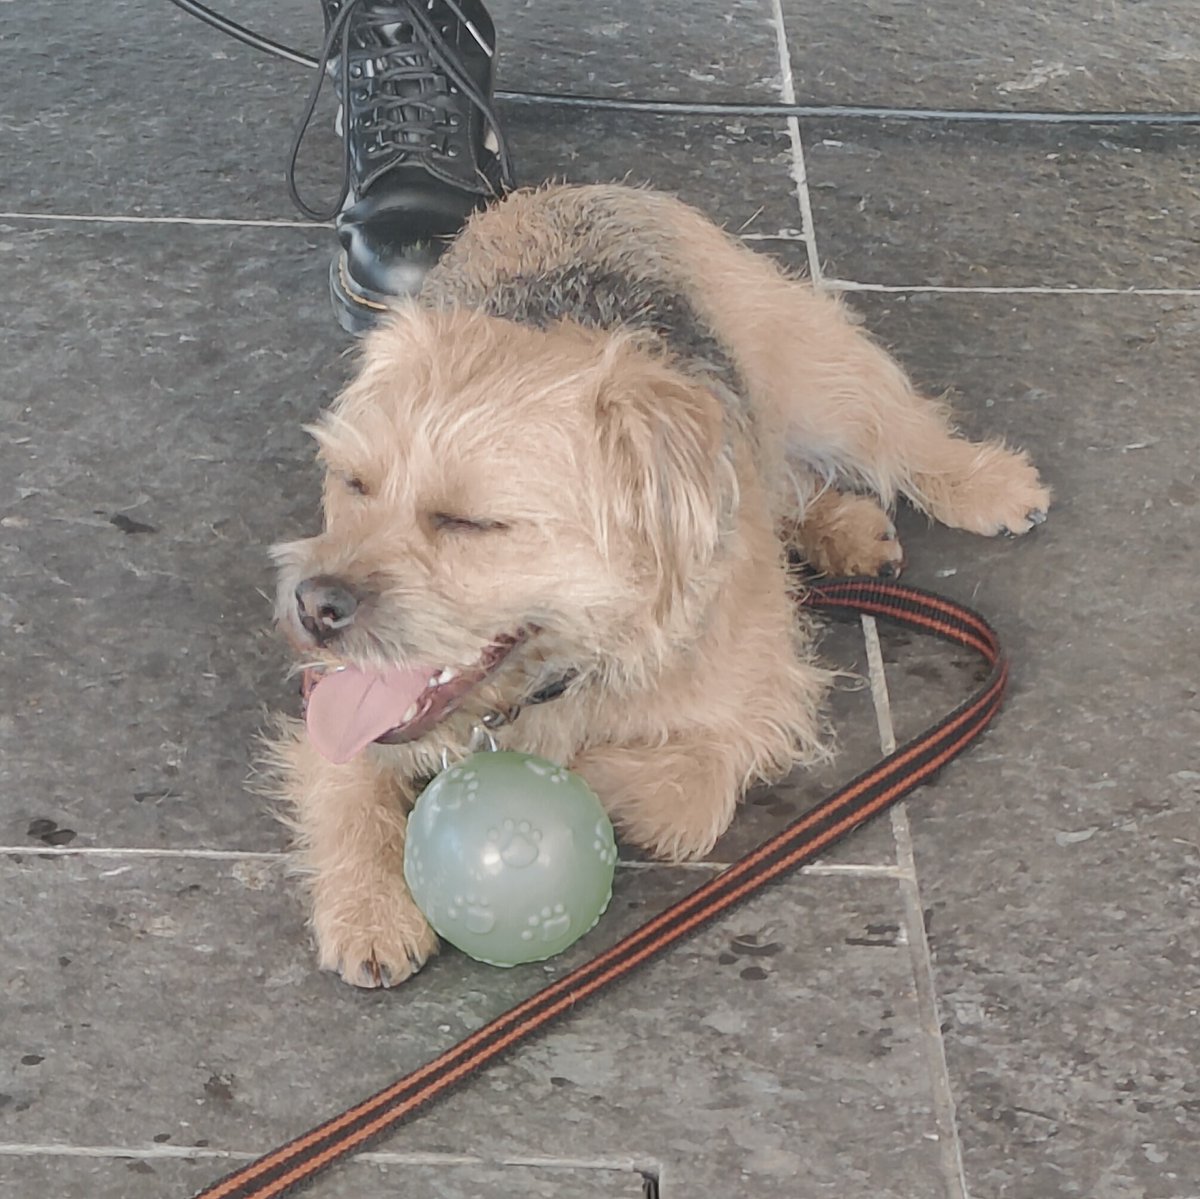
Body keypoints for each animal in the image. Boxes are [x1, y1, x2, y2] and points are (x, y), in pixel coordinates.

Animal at [267, 182, 1046, 988]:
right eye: (354, 484)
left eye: (469, 522)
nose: (313, 605)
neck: (568, 668)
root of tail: (574, 189)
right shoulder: (334, 700)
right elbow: (342, 774)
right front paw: (370, 908)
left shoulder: (765, 699)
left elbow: (688, 798)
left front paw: (590, 774)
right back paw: (846, 528)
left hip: (819, 378)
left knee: (895, 429)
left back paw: (983, 484)